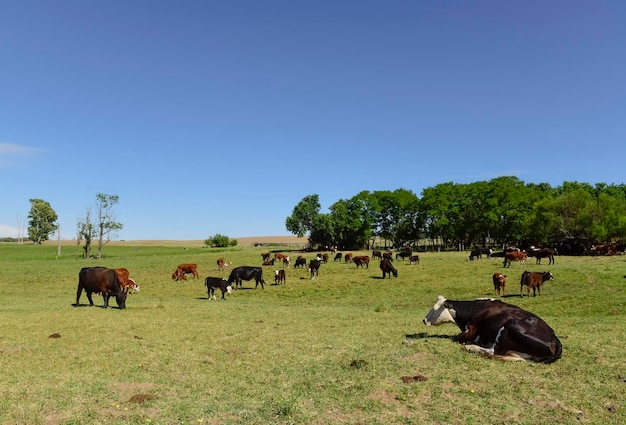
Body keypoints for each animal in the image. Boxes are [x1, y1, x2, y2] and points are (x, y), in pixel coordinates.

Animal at [420, 294, 560, 362]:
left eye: (434, 309)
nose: (424, 320)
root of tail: (555, 338)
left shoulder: (470, 331)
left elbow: (456, 338)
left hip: (508, 327)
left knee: (493, 351)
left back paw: (471, 347)